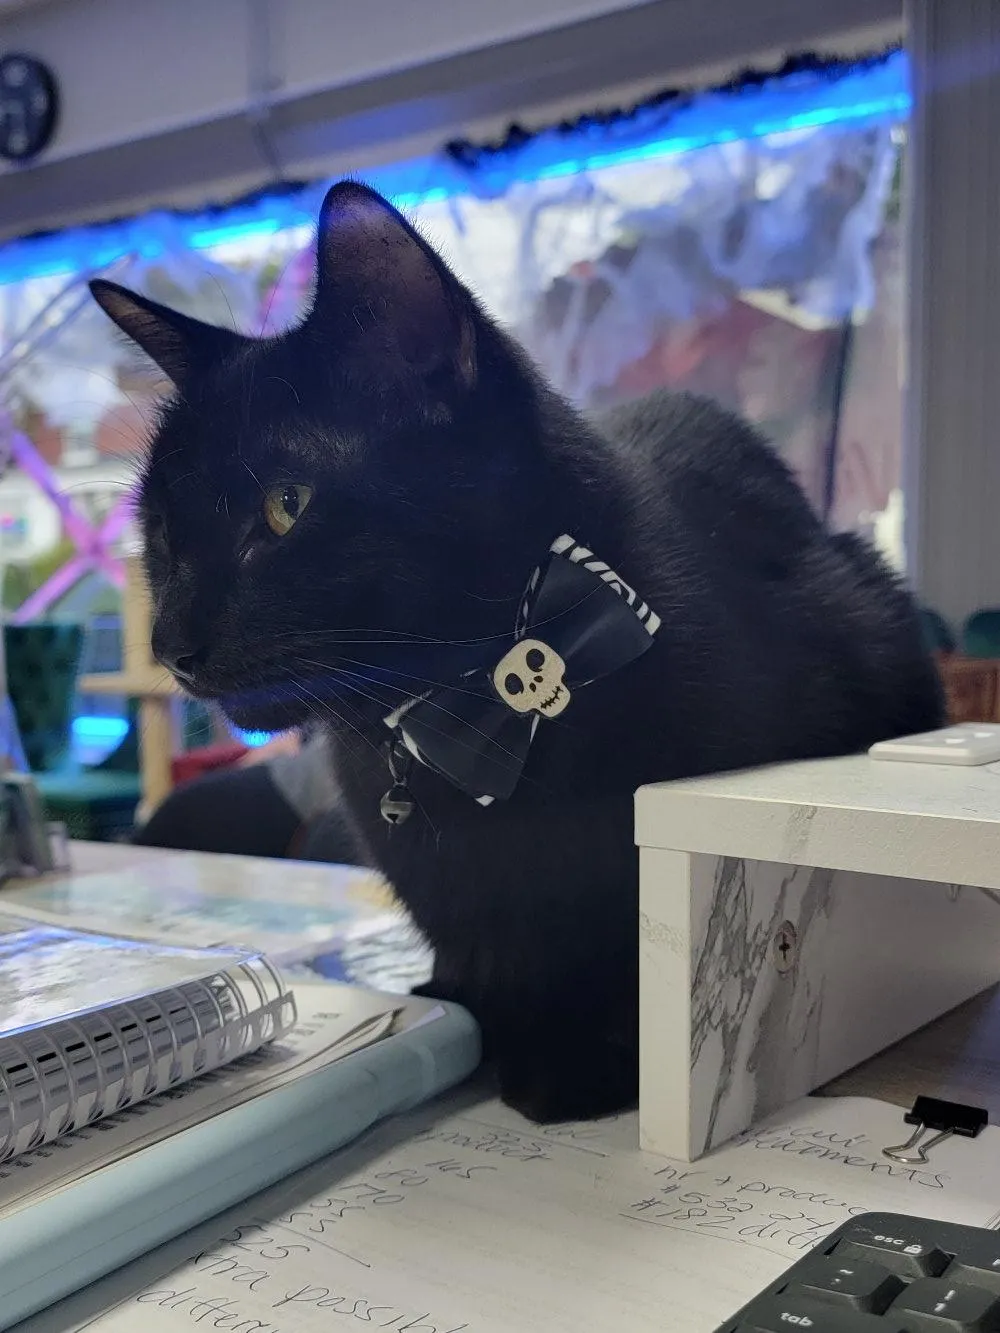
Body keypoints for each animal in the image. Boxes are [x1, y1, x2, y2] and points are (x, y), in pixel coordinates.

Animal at [90, 179, 944, 1125]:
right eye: (161, 533)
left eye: (285, 505)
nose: (171, 642)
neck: (458, 723)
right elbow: (478, 943)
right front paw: (467, 1010)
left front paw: (580, 1068)